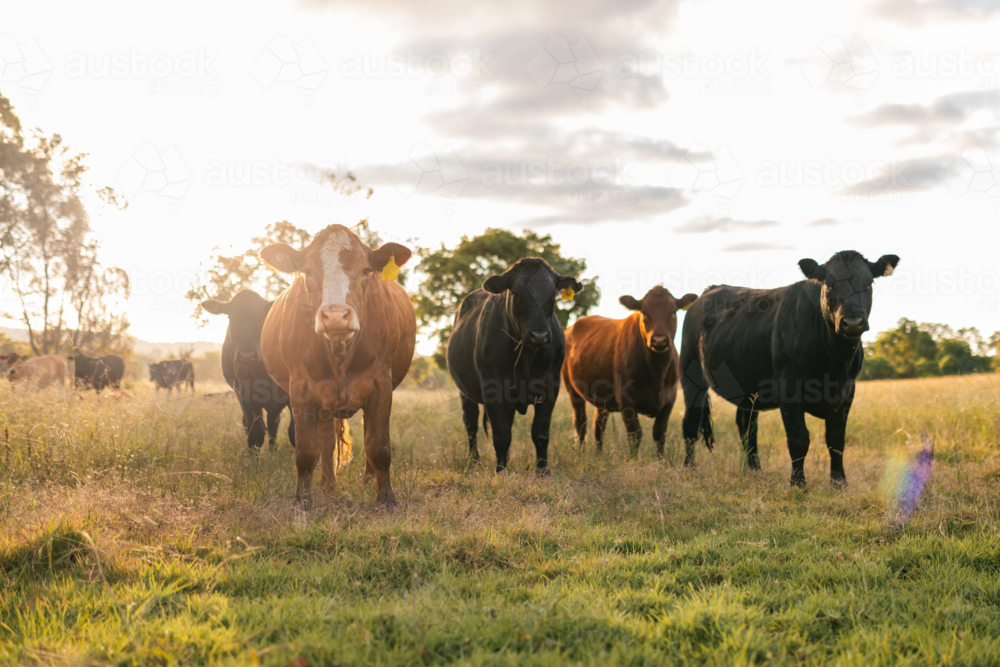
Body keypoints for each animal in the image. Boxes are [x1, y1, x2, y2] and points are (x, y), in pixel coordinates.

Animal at [202, 290, 294, 453]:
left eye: (262, 318)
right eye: (231, 317)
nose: (247, 355)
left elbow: (295, 433)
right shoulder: (246, 396)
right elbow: (255, 434)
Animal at [258, 224, 416, 507]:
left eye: (366, 270)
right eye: (308, 271)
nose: (334, 316)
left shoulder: (381, 383)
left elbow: (378, 444)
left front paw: (386, 499)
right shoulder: (301, 387)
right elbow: (307, 449)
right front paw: (302, 501)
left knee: (365, 432)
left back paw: (367, 479)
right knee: (327, 440)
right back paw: (328, 484)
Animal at [447, 258, 584, 474]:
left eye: (552, 295)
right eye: (517, 295)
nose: (539, 335)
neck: (525, 356)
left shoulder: (551, 384)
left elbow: (540, 432)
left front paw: (543, 470)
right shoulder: (492, 386)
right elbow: (501, 434)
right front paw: (500, 471)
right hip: (464, 391)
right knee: (471, 424)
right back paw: (474, 461)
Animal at [562, 285, 698, 457]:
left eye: (673, 312)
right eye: (644, 313)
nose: (659, 340)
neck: (656, 373)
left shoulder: (670, 399)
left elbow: (659, 434)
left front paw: (660, 462)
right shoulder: (625, 399)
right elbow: (635, 435)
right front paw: (633, 461)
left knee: (599, 425)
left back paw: (598, 456)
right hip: (572, 389)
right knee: (581, 423)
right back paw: (581, 454)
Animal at [680, 250, 899, 489]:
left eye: (868, 284)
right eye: (829, 284)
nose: (852, 322)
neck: (835, 362)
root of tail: (709, 291)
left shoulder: (847, 392)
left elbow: (836, 440)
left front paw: (839, 484)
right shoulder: (788, 388)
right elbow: (799, 438)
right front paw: (798, 484)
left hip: (747, 386)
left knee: (747, 426)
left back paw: (755, 471)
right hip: (691, 375)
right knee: (691, 423)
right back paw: (689, 469)